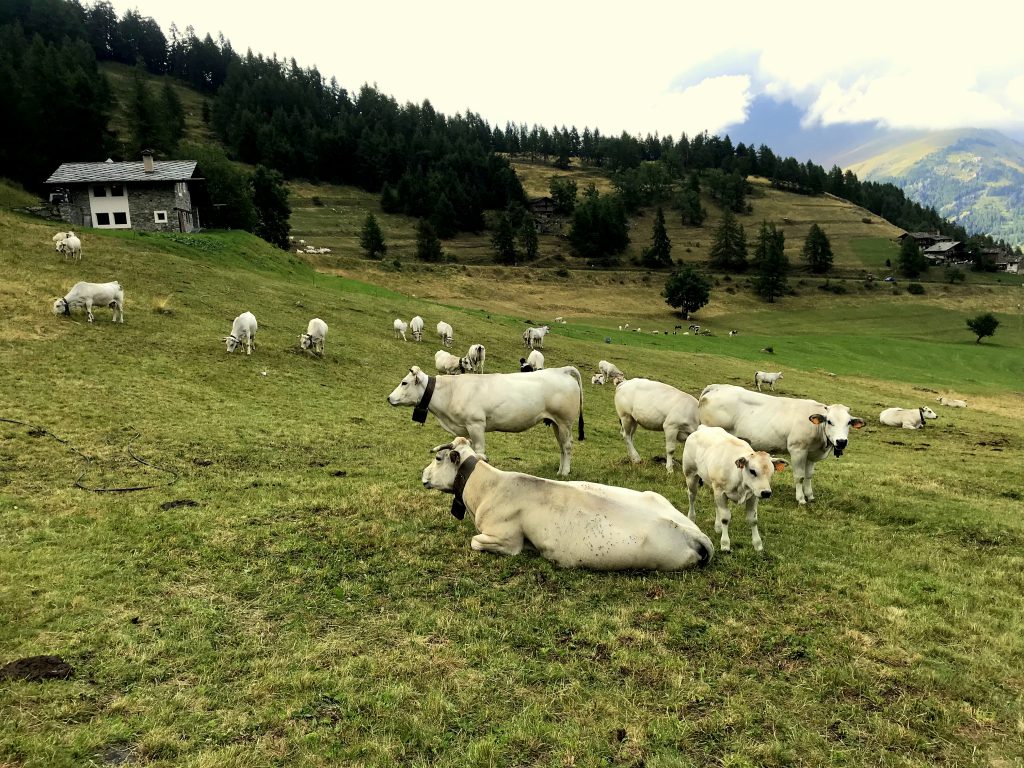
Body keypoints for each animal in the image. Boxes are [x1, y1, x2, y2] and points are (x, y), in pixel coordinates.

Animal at [388, 365, 585, 476]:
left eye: (404, 382)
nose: (389, 398)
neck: (451, 392)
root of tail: (561, 371)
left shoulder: (476, 425)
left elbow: (479, 451)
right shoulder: (465, 429)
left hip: (565, 422)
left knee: (567, 446)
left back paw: (565, 473)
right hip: (556, 423)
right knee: (562, 447)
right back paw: (560, 470)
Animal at [421, 437, 713, 570]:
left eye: (437, 458)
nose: (422, 474)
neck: (488, 486)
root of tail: (693, 533)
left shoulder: (506, 540)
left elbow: (475, 541)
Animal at [699, 384, 865, 505]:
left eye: (849, 422)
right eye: (829, 421)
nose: (841, 441)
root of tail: (718, 387)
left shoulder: (811, 454)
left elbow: (809, 475)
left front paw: (810, 495)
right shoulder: (798, 450)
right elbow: (799, 476)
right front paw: (801, 499)